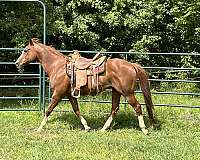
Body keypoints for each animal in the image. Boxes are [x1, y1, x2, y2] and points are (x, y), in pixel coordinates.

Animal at [16, 38, 156, 134]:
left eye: (25, 50)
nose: (17, 63)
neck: (58, 66)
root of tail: (131, 65)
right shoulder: (69, 95)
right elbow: (76, 110)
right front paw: (87, 127)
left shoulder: (58, 93)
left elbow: (48, 110)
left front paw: (40, 128)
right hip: (116, 91)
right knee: (114, 109)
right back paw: (103, 129)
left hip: (128, 93)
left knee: (137, 107)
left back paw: (144, 129)